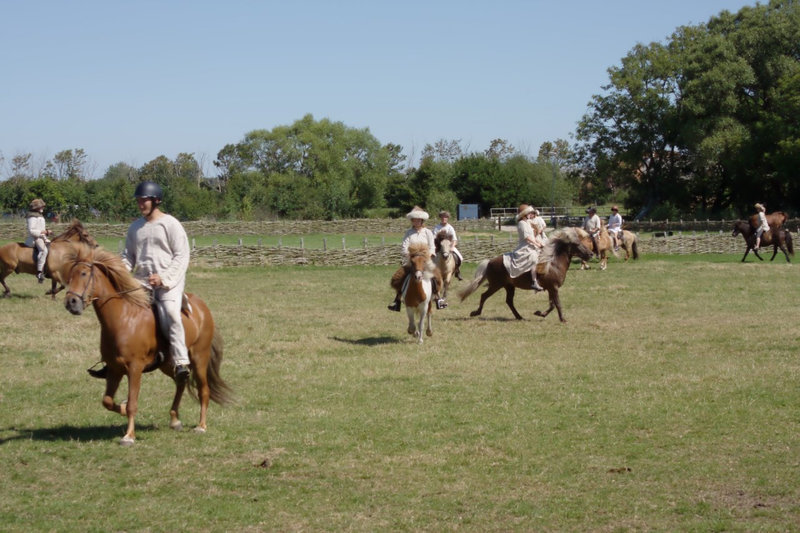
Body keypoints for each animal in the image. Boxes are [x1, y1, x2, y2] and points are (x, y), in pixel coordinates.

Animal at [62, 242, 231, 444]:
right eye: (69, 275)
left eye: (84, 274)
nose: (71, 302)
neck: (124, 318)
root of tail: (203, 308)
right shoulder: (115, 369)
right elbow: (108, 401)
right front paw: (122, 408)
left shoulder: (135, 368)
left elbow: (132, 403)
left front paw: (129, 436)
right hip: (167, 364)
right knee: (180, 382)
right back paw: (175, 420)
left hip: (199, 359)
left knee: (203, 390)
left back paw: (201, 426)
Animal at [456, 225, 592, 320]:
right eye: (576, 244)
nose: (590, 254)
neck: (553, 264)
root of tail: (490, 261)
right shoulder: (553, 288)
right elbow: (557, 304)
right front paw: (563, 319)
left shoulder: (551, 288)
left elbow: (552, 305)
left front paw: (540, 313)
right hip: (496, 285)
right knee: (484, 296)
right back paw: (475, 313)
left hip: (509, 286)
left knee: (509, 301)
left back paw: (519, 316)